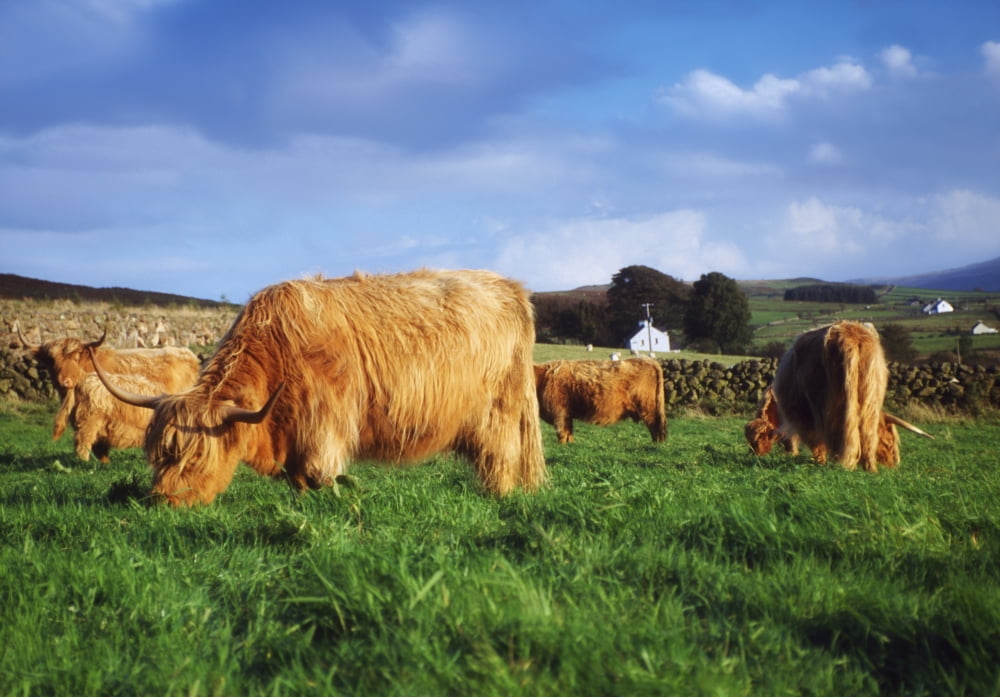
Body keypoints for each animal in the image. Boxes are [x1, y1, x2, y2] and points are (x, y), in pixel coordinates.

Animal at [90, 269, 548, 506]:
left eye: (199, 457)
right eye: (158, 455)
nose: (162, 500)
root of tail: (510, 287)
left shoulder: (324, 425)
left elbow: (318, 474)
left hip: (500, 412)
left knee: (501, 458)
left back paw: (499, 497)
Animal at [534, 358, 667, 444]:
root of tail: (649, 360)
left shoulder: (559, 412)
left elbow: (562, 432)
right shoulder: (567, 415)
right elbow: (569, 432)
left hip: (648, 408)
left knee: (655, 426)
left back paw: (657, 445)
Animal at [766, 321, 932, 472]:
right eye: (889, 441)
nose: (894, 464)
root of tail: (851, 333)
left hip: (825, 405)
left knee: (834, 435)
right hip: (870, 397)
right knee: (866, 434)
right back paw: (869, 468)